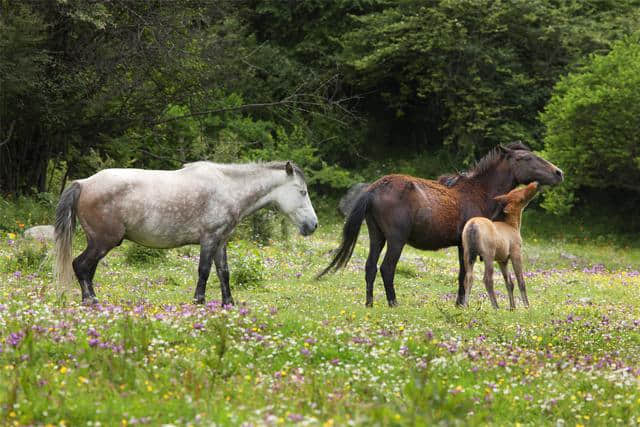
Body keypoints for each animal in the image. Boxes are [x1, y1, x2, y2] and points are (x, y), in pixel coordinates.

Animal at [55, 160, 318, 304]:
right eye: (302, 192)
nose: (313, 225)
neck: (228, 188)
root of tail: (83, 183)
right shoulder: (209, 239)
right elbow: (204, 271)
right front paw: (199, 301)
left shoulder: (221, 241)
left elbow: (224, 273)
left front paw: (228, 304)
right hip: (103, 242)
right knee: (80, 266)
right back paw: (91, 301)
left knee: (87, 270)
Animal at [318, 143, 564, 308]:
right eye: (525, 158)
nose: (558, 173)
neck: (480, 192)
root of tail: (373, 189)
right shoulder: (466, 246)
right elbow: (465, 274)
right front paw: (462, 304)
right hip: (396, 240)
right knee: (387, 268)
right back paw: (393, 303)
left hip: (377, 236)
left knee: (370, 267)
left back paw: (369, 303)